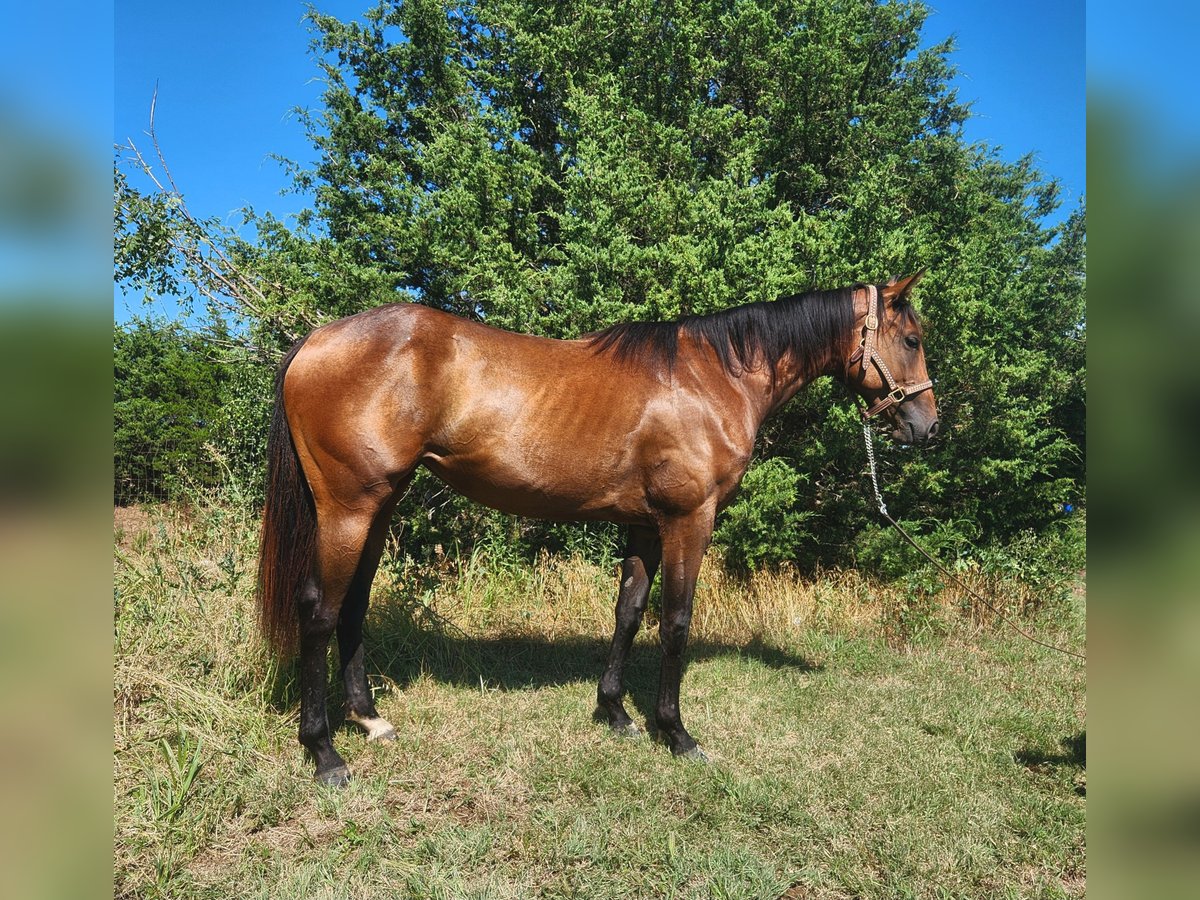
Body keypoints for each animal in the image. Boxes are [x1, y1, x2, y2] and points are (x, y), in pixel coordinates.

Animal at [258, 278, 940, 787]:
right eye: (911, 338)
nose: (927, 425)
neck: (713, 377)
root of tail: (315, 340)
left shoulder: (643, 524)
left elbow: (628, 614)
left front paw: (614, 711)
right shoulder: (689, 519)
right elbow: (675, 623)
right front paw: (676, 733)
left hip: (379, 506)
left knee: (353, 606)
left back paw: (369, 718)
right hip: (348, 507)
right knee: (319, 610)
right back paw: (324, 752)